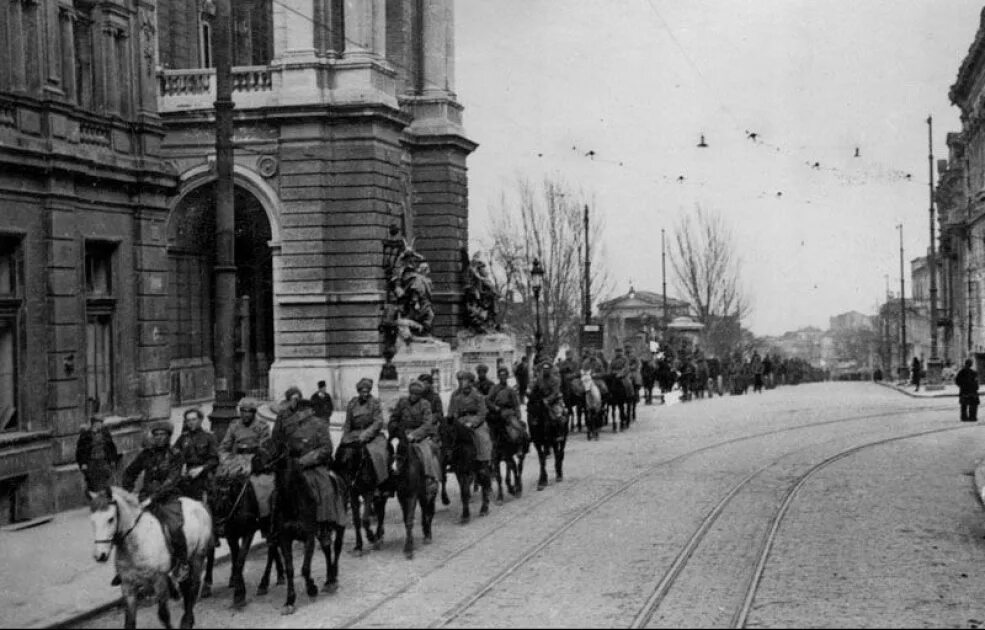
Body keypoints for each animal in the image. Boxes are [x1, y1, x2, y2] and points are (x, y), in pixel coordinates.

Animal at [89, 488, 212, 630]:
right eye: (92, 521)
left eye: (110, 519)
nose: (100, 556)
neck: (136, 542)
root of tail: (198, 504)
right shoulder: (128, 586)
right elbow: (129, 621)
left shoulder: (159, 581)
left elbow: (164, 615)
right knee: (186, 585)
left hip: (197, 557)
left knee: (193, 586)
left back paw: (187, 620)